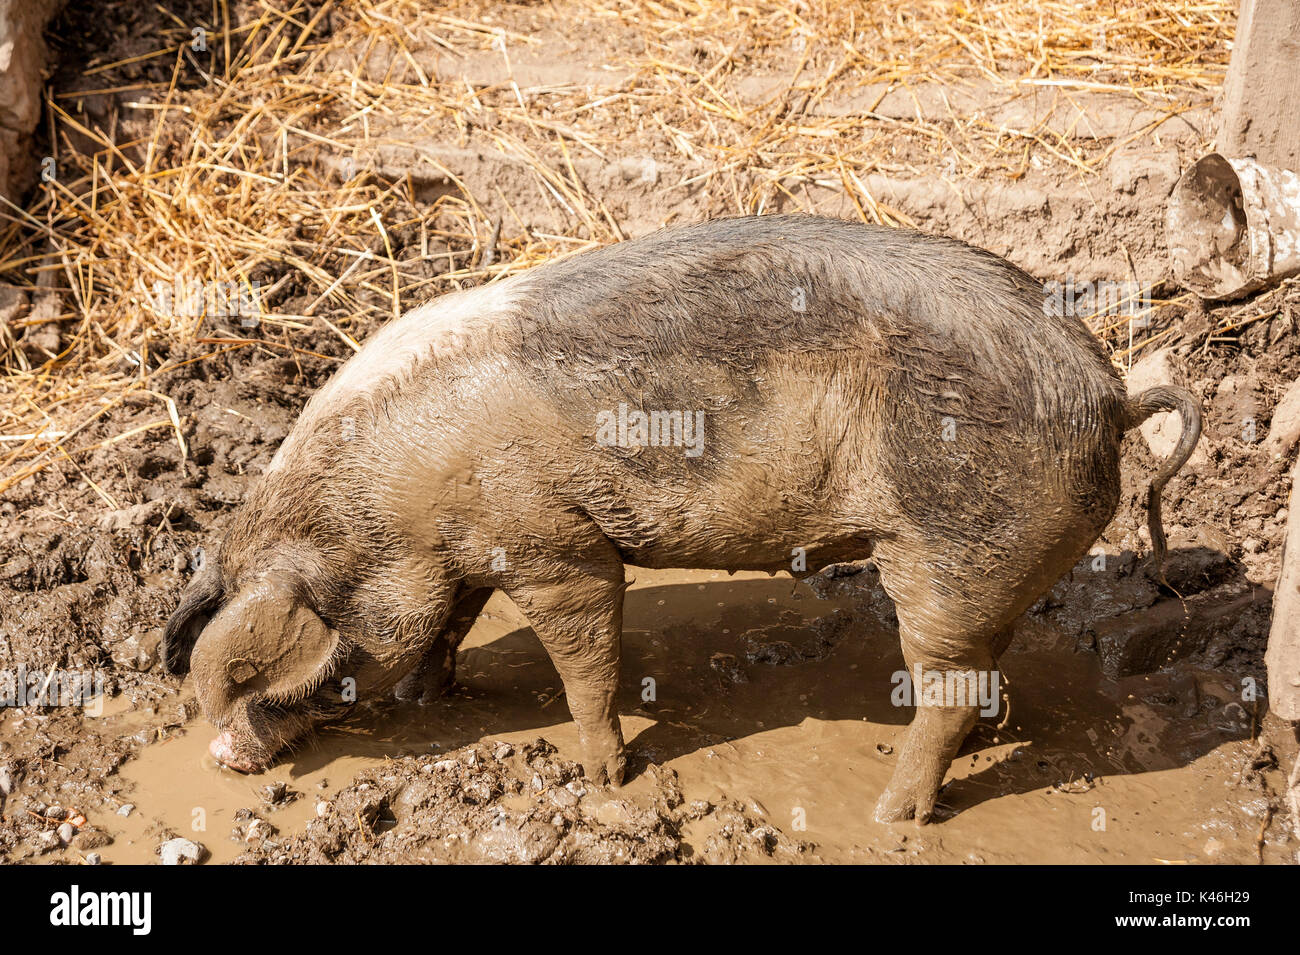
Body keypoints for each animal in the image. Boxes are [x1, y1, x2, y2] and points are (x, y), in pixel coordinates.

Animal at [162, 214, 1201, 823]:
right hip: (995, 566)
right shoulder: (469, 554)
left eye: (261, 679)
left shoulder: (555, 546)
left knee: (944, 687)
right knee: (986, 667)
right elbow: (449, 623)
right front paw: (428, 700)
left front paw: (601, 781)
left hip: (945, 550)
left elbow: (585, 653)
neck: (390, 499)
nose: (218, 759)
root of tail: (1110, 394)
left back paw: (888, 817)